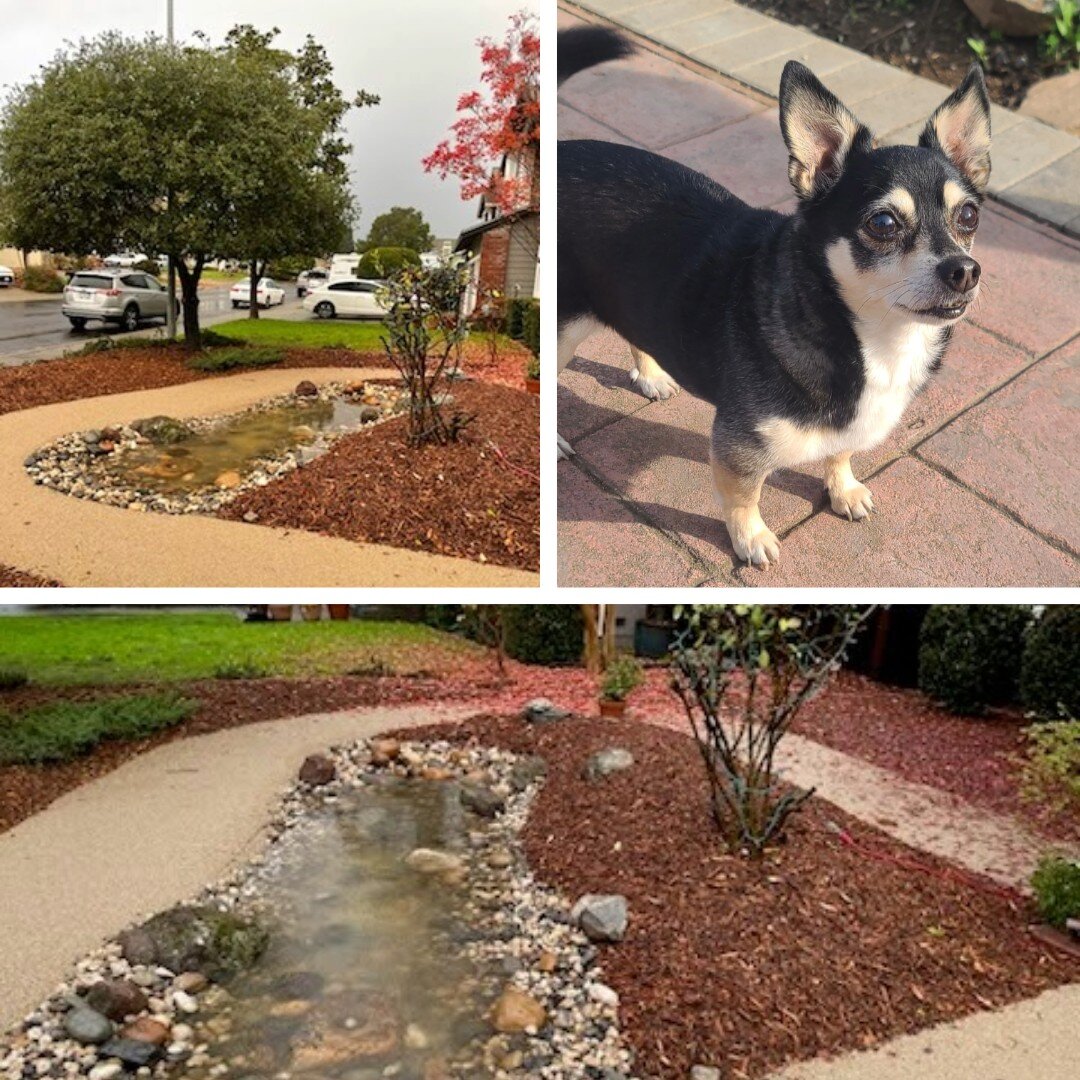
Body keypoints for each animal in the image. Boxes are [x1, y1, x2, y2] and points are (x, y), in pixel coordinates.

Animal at [561, 27, 989, 565]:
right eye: (883, 223)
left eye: (969, 216)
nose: (964, 270)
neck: (871, 338)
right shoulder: (739, 446)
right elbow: (744, 495)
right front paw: (750, 539)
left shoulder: (847, 425)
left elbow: (840, 450)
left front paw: (843, 489)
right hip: (562, 327)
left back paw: (651, 373)